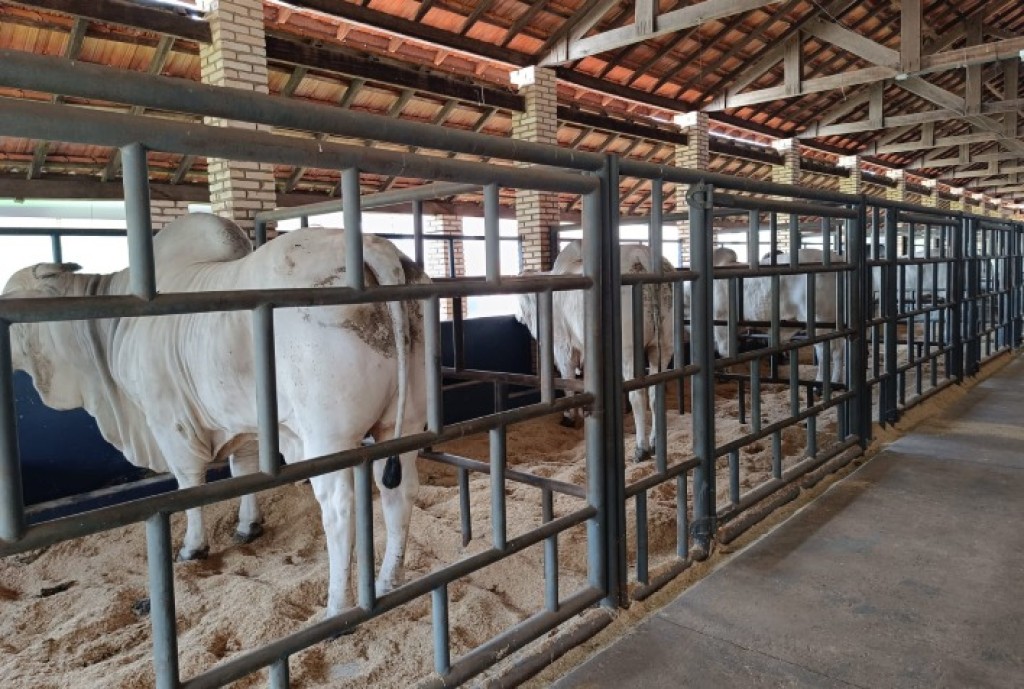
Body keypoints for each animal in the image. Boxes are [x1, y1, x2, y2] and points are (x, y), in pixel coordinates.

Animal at [3, 213, 427, 617]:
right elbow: (244, 472)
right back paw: (389, 581)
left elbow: (189, 485)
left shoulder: (169, 421)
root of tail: (375, 247)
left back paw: (338, 605)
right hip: (402, 424)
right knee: (400, 492)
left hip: (330, 437)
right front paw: (248, 526)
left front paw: (193, 548)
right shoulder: (244, 425)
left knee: (339, 509)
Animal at [516, 241, 673, 462]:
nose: (519, 317)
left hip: (629, 351)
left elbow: (567, 380)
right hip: (663, 347)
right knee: (655, 392)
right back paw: (654, 442)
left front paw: (569, 417)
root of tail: (641, 254)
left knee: (638, 395)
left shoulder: (563, 347)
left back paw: (641, 449)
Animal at [712, 248, 846, 385]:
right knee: (838, 350)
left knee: (825, 350)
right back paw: (836, 381)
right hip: (834, 321)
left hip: (819, 320)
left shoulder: (721, 320)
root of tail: (838, 259)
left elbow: (724, 351)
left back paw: (819, 382)